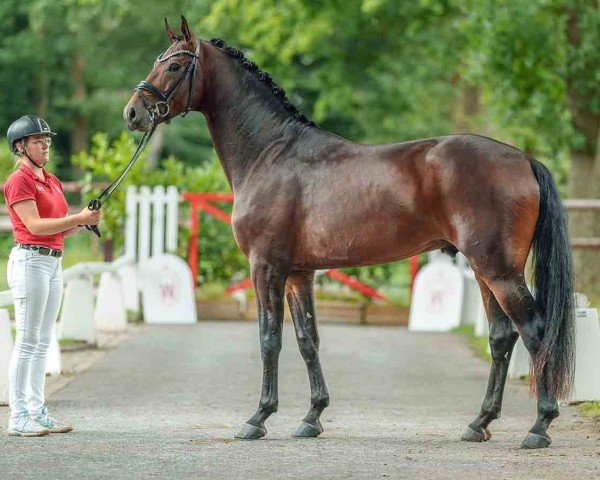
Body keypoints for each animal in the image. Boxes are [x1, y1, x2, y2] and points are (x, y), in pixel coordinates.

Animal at [123, 15, 576, 450]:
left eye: (175, 65)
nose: (132, 113)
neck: (270, 153)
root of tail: (523, 159)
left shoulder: (265, 267)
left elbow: (269, 339)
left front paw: (258, 418)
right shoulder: (299, 274)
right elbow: (308, 340)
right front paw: (312, 418)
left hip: (499, 271)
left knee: (535, 332)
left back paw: (539, 426)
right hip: (486, 271)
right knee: (502, 337)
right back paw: (479, 423)